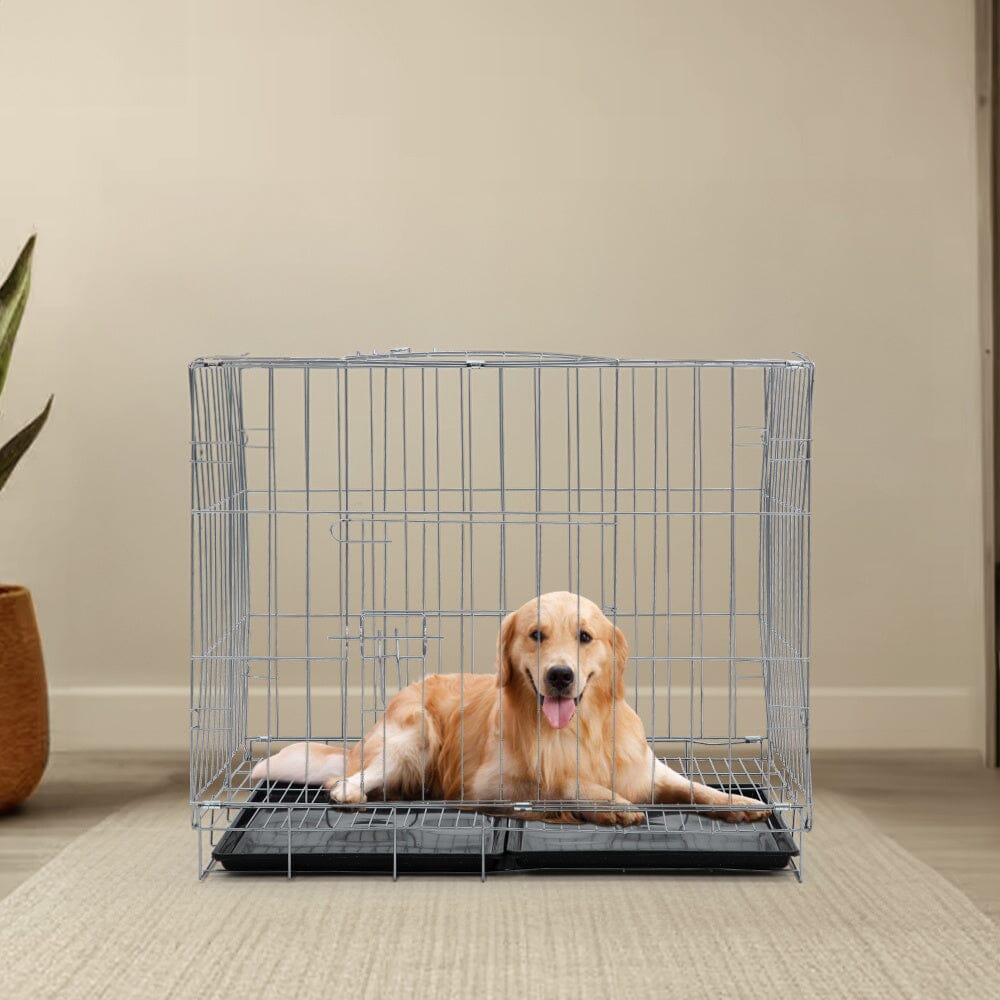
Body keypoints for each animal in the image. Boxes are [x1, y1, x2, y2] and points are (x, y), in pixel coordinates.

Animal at [254, 588, 768, 824]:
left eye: (585, 637)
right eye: (536, 634)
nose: (560, 675)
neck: (577, 731)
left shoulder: (645, 769)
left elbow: (694, 788)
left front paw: (740, 803)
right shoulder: (488, 786)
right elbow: (563, 784)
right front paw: (609, 806)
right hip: (413, 737)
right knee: (345, 782)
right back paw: (353, 793)